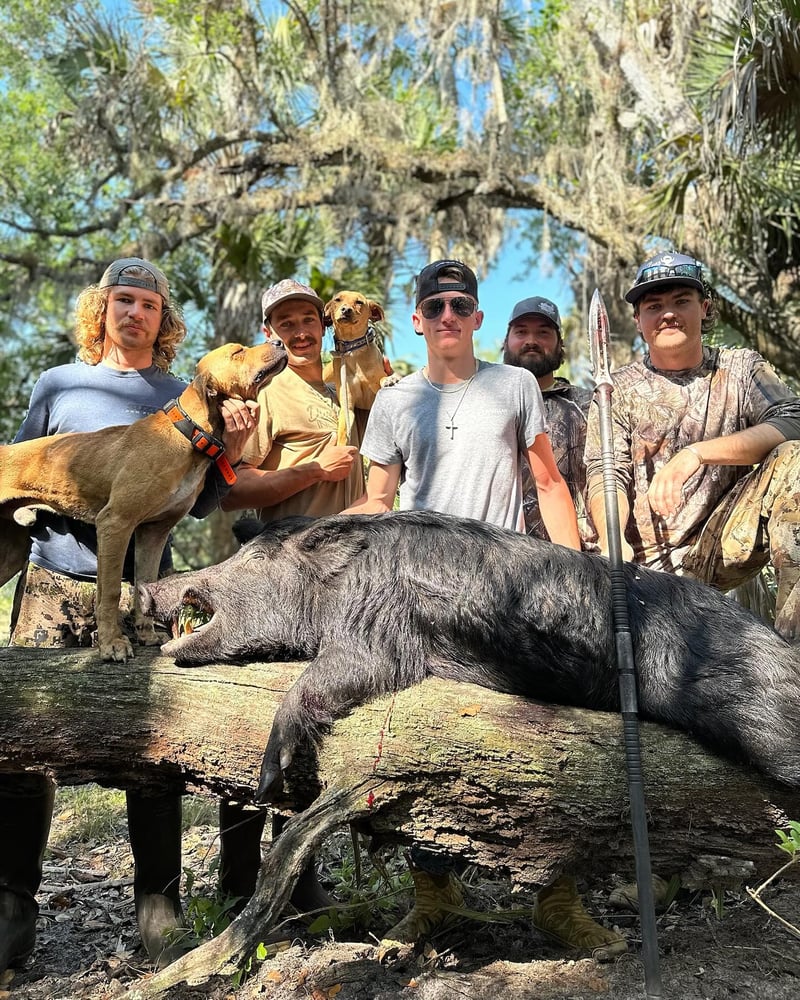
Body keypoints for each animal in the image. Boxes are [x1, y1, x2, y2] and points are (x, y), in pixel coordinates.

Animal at [0, 344, 288, 664]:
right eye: (237, 352)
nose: (278, 343)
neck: (189, 435)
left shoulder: (154, 531)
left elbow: (144, 585)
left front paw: (146, 636)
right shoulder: (115, 522)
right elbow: (110, 592)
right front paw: (112, 645)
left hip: (10, 551)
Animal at [322, 290, 400, 446]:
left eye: (359, 302)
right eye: (337, 300)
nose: (346, 310)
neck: (352, 349)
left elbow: (382, 379)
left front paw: (389, 379)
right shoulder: (347, 406)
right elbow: (343, 435)